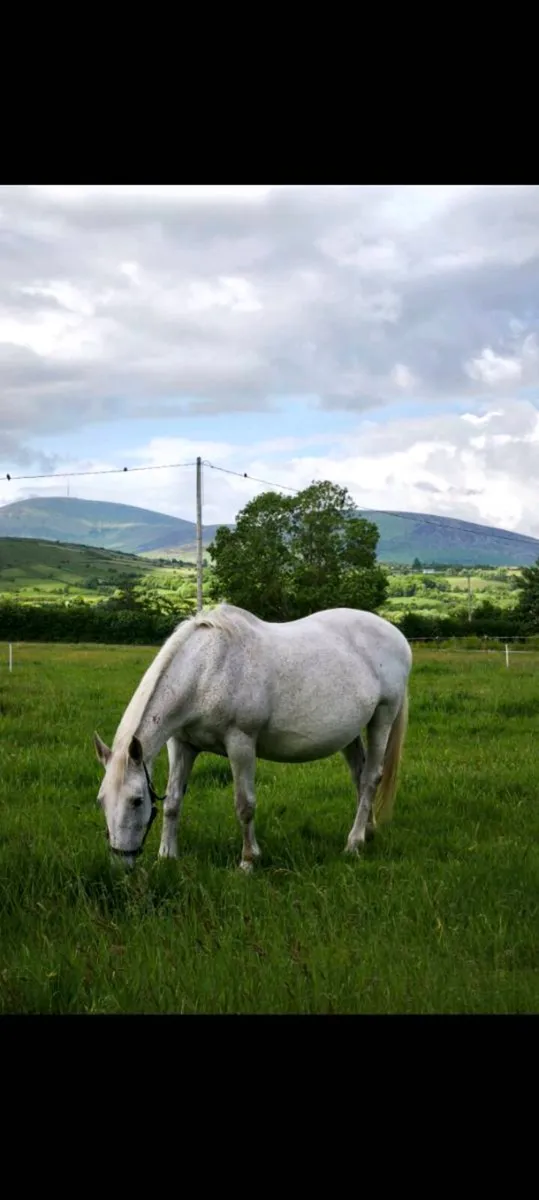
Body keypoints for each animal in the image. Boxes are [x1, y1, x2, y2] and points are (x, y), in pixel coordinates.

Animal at [93, 603, 412, 871]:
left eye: (136, 801)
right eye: (101, 801)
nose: (121, 865)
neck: (206, 670)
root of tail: (398, 637)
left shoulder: (241, 744)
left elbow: (244, 805)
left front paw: (248, 861)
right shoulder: (182, 745)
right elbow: (173, 801)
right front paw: (167, 856)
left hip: (382, 718)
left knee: (370, 778)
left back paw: (353, 843)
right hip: (350, 732)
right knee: (359, 775)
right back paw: (368, 831)